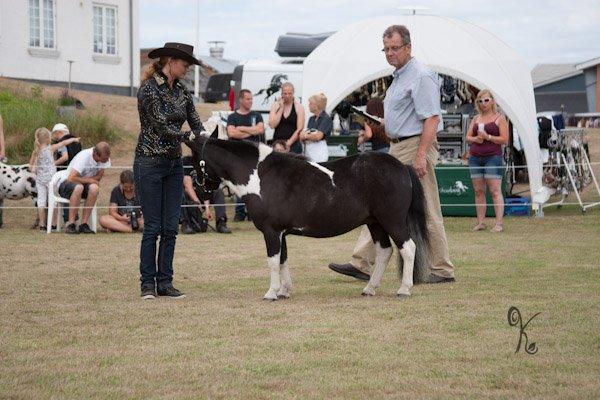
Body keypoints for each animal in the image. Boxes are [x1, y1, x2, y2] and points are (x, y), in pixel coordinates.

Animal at [186, 136, 426, 298]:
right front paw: (284, 291)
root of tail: (401, 167)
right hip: (375, 223)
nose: (198, 191)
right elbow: (283, 260)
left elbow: (273, 261)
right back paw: (369, 288)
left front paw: (271, 292)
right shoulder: (280, 233)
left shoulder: (271, 231)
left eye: (197, 159)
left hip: (392, 221)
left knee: (408, 248)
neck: (261, 176)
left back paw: (404, 289)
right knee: (385, 251)